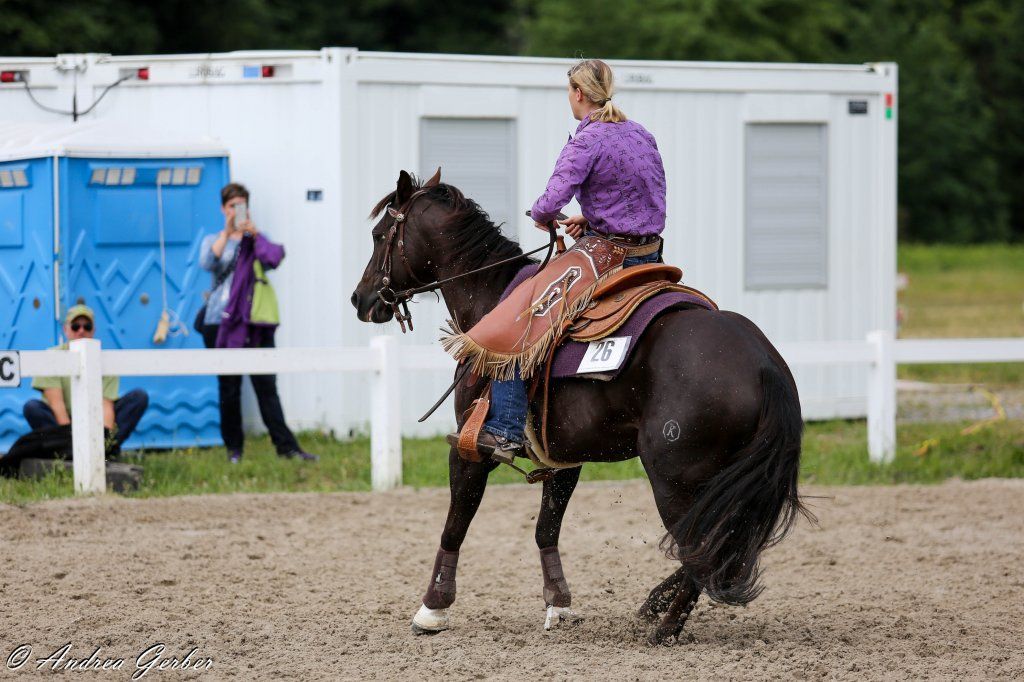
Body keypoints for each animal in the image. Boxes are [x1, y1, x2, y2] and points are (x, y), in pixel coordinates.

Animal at [350, 170, 811, 644]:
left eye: (379, 234)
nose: (361, 299)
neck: (493, 296)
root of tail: (764, 364)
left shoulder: (470, 446)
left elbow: (455, 524)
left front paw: (432, 609)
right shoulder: (563, 458)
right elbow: (545, 530)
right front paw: (559, 603)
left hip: (676, 478)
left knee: (702, 551)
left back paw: (664, 628)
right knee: (717, 547)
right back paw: (655, 605)